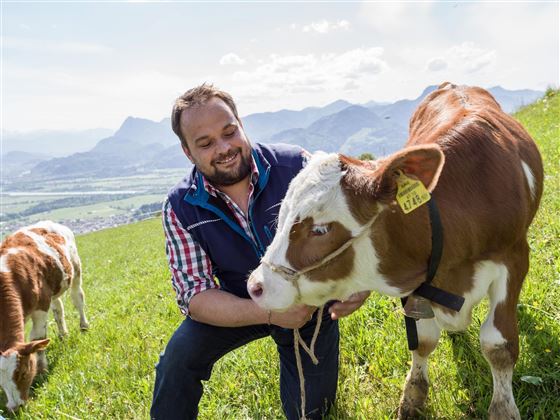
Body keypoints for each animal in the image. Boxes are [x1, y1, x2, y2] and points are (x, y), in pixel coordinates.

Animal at [0, 221, 88, 412]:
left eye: (23, 372)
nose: (15, 407)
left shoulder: (40, 307)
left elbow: (38, 338)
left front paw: (41, 370)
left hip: (76, 268)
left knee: (78, 297)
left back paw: (84, 326)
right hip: (53, 291)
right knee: (58, 308)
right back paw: (63, 334)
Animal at [248, 83, 544, 420]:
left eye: (320, 229)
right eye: (280, 216)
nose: (256, 286)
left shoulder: (514, 257)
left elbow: (499, 344)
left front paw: (503, 409)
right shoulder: (419, 280)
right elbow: (422, 340)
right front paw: (413, 397)